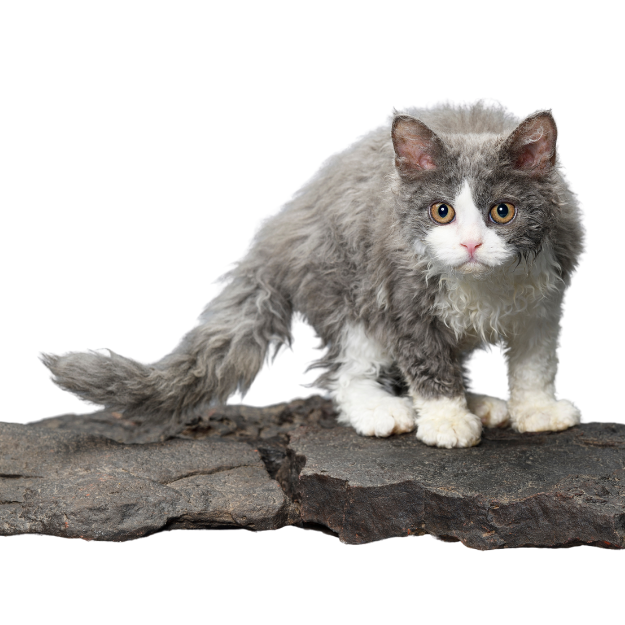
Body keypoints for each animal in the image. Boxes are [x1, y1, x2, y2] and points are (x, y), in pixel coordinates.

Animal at [44, 101, 580, 448]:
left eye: (502, 212)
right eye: (442, 212)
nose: (470, 244)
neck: (485, 284)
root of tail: (279, 229)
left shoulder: (545, 296)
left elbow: (535, 363)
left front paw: (537, 411)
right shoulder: (401, 297)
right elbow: (428, 366)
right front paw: (447, 421)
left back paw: (482, 402)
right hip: (345, 290)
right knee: (345, 373)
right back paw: (382, 410)